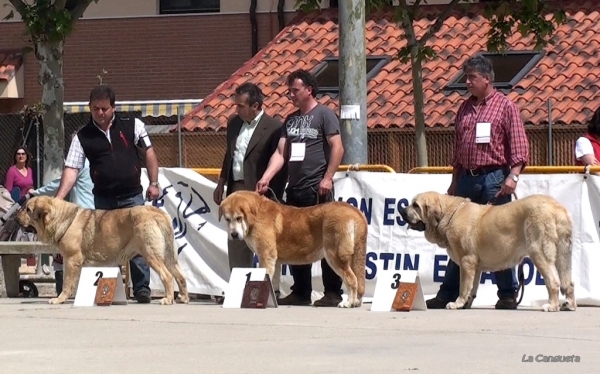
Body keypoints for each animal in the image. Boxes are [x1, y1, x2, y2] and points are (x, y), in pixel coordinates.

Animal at [15, 194, 189, 306]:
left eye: (28, 209)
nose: (16, 218)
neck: (62, 218)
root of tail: (158, 213)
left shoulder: (71, 260)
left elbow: (67, 282)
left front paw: (59, 299)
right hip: (169, 256)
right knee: (180, 276)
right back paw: (183, 298)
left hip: (151, 255)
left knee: (167, 276)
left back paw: (167, 299)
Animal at [217, 191, 366, 308]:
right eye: (227, 219)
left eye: (239, 218)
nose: (234, 234)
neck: (255, 214)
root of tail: (354, 211)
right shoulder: (275, 261)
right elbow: (273, 282)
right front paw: (272, 299)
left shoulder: (266, 256)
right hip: (355, 256)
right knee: (358, 279)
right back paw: (356, 302)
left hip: (335, 256)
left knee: (352, 279)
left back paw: (348, 303)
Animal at [400, 191, 576, 312]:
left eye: (416, 206)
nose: (401, 210)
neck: (448, 214)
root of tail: (557, 208)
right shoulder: (475, 266)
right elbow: (472, 288)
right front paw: (466, 304)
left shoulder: (466, 261)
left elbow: (464, 287)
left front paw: (457, 303)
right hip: (564, 253)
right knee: (568, 282)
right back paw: (569, 305)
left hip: (538, 251)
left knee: (553, 281)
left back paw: (551, 306)